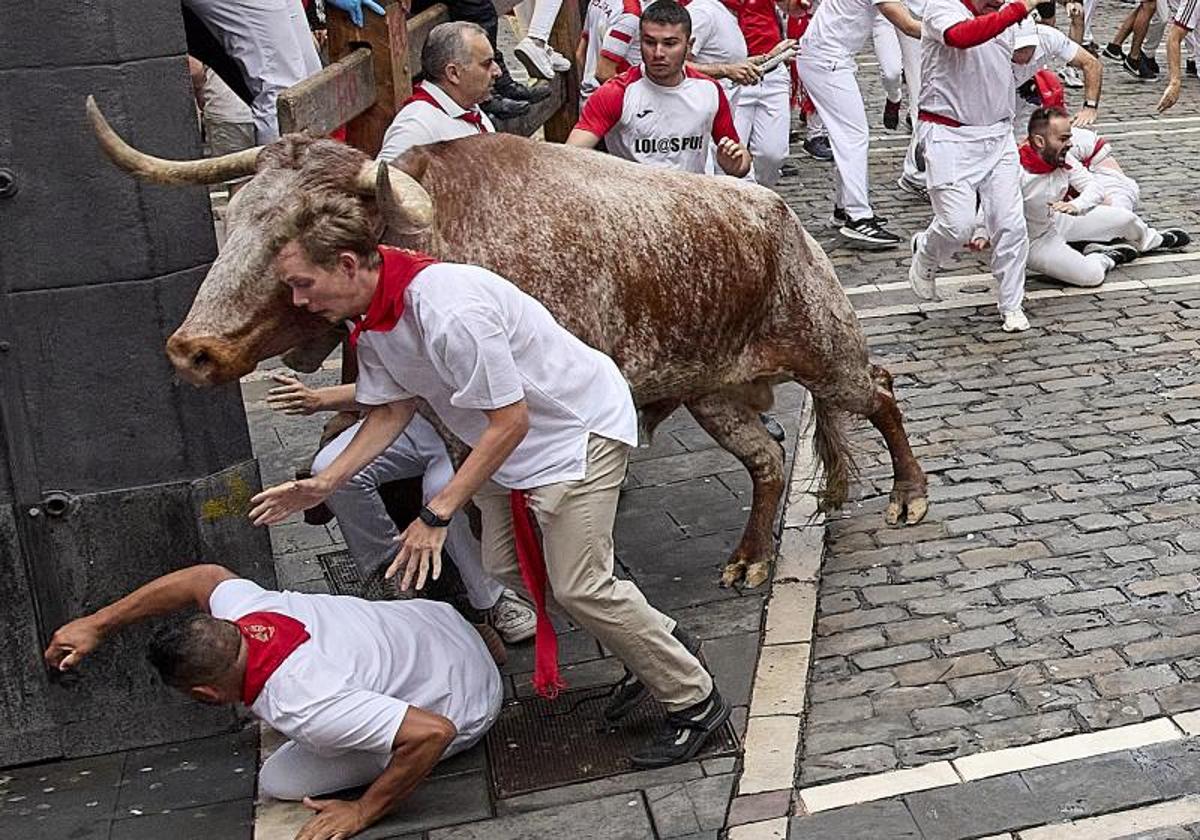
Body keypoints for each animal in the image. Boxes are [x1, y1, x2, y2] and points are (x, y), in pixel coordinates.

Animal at [87, 96, 926, 583]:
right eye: (237, 214)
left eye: (311, 227)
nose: (193, 349)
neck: (432, 245)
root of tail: (781, 218)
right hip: (711, 392)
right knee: (768, 463)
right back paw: (751, 559)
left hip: (825, 351)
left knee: (881, 391)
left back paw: (909, 497)